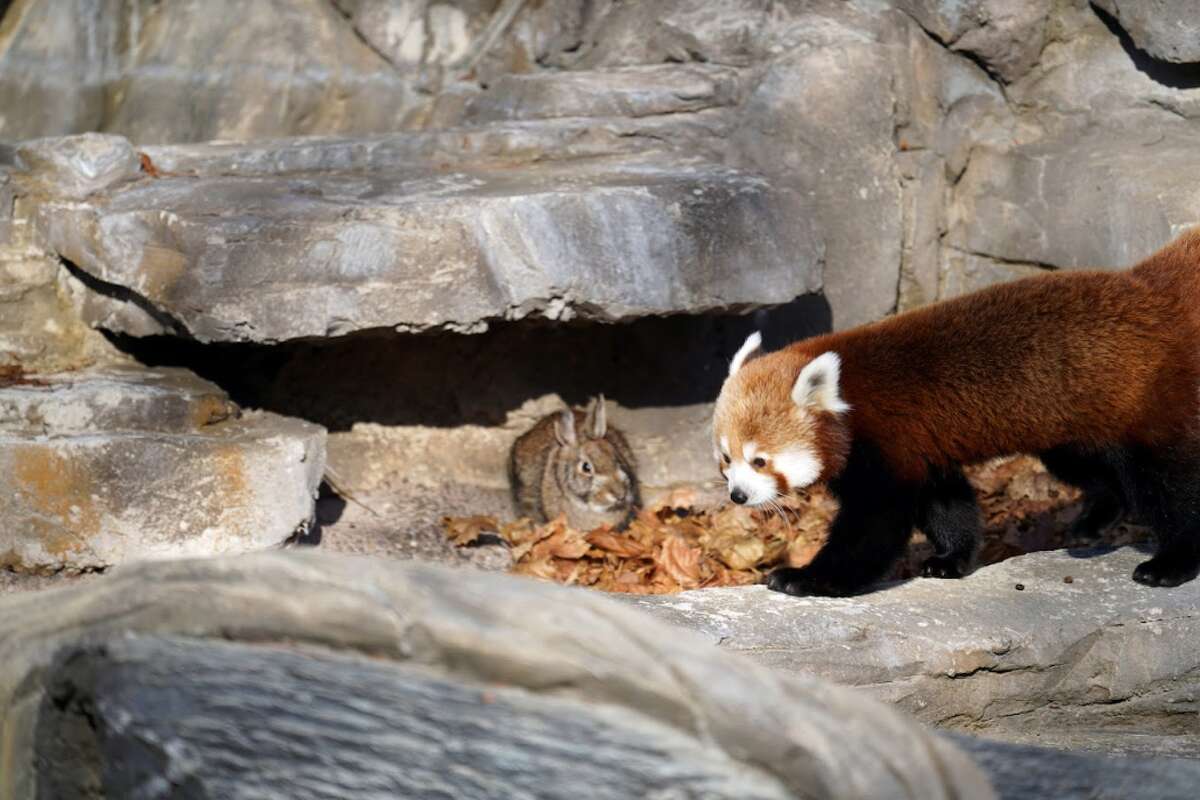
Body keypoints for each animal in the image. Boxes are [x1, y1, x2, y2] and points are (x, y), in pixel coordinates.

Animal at [705, 225, 1200, 594]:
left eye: (760, 460)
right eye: (727, 458)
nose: (738, 496)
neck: (849, 405)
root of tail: (1147, 291)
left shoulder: (887, 442)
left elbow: (874, 526)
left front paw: (805, 578)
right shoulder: (921, 449)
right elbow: (947, 502)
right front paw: (951, 559)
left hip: (1143, 404)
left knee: (1166, 484)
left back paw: (1172, 562)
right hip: (1073, 423)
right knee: (1096, 469)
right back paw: (1096, 518)